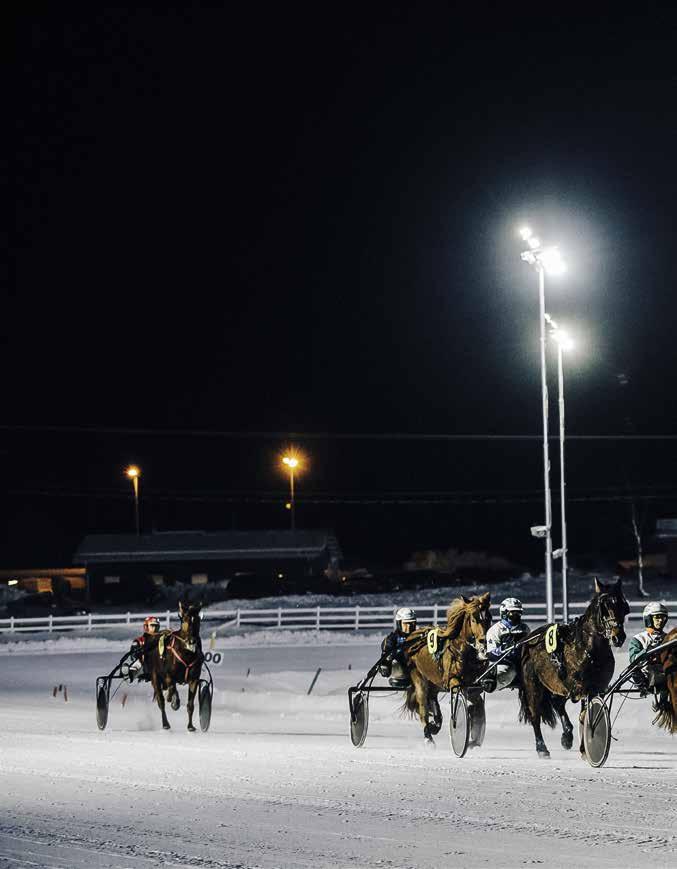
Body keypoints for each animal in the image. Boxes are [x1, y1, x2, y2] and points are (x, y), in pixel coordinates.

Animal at [145, 600, 203, 728]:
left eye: (197, 620)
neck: (186, 653)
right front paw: (173, 701)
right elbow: (171, 687)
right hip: (155, 676)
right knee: (161, 701)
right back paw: (165, 723)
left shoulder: (194, 679)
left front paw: (190, 726)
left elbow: (190, 704)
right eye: (185, 620)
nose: (192, 640)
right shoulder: (168, 675)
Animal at [402, 592, 492, 744]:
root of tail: (412, 637)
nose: (483, 641)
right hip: (419, 678)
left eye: (489, 618)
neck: (463, 653)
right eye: (474, 619)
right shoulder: (453, 681)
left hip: (435, 683)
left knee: (433, 700)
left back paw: (435, 724)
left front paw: (475, 737)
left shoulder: (473, 686)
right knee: (423, 708)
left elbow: (478, 705)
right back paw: (428, 736)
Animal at [516, 580, 628, 756]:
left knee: (557, 703)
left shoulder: (599, 688)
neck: (589, 650)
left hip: (555, 683)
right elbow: (584, 714)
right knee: (535, 714)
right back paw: (542, 748)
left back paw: (567, 736)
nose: (618, 637)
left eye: (623, 606)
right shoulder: (579, 687)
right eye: (604, 606)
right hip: (532, 684)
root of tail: (528, 640)